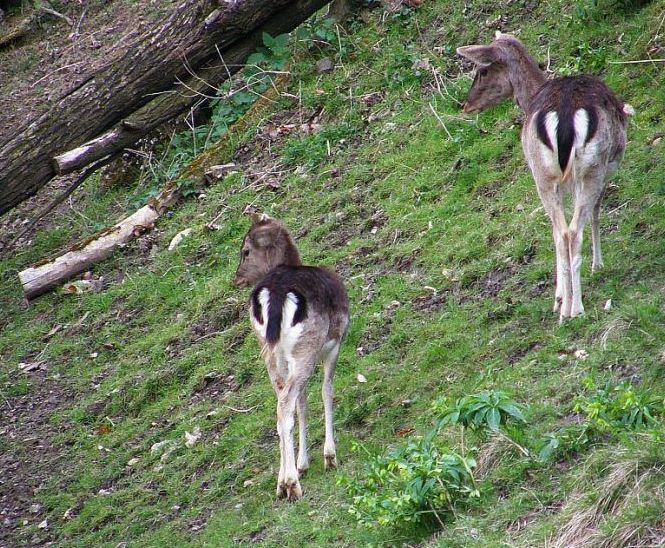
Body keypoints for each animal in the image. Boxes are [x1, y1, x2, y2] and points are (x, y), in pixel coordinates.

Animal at [232, 213, 348, 500]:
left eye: (245, 250)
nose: (237, 278)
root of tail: (275, 294)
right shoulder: (334, 344)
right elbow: (326, 391)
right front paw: (329, 457)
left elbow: (303, 404)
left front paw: (303, 463)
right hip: (306, 348)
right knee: (285, 404)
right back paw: (291, 485)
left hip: (270, 352)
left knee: (281, 403)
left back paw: (281, 483)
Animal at [456, 32, 632, 322]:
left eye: (482, 71)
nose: (466, 104)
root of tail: (565, 114)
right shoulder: (609, 166)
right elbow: (596, 213)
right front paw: (597, 266)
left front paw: (559, 297)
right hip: (592, 168)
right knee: (572, 231)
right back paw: (576, 309)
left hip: (542, 174)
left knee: (561, 232)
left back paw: (565, 308)